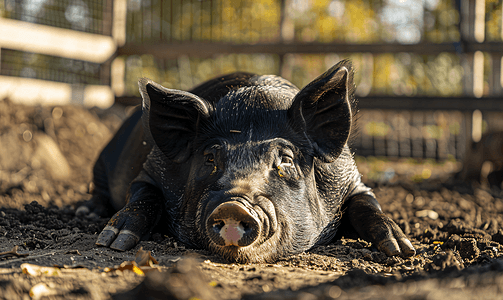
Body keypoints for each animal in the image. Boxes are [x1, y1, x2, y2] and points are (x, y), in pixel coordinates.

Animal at [85, 59, 418, 262]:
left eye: (285, 160)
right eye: (210, 158)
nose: (235, 205)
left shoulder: (352, 179)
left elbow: (366, 203)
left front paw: (401, 248)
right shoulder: (150, 172)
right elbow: (144, 195)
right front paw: (113, 240)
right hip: (100, 162)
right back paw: (87, 213)